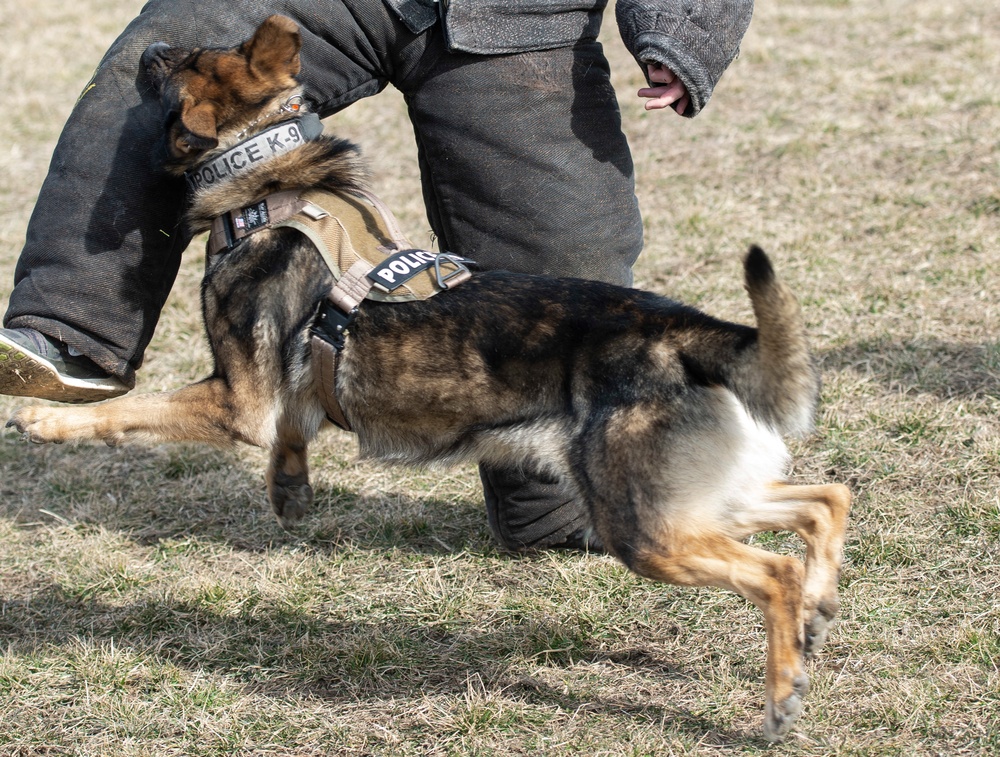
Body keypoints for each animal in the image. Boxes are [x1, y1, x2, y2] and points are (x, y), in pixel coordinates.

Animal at [9, 14, 852, 740]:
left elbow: (127, 409)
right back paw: (818, 604)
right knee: (824, 501)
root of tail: (686, 331)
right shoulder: (277, 404)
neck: (268, 176)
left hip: (644, 527)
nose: (149, 46)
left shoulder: (233, 401)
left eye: (185, 63)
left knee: (775, 567)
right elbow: (288, 436)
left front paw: (46, 419)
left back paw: (782, 690)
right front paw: (290, 490)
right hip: (695, 501)